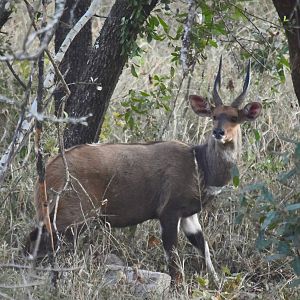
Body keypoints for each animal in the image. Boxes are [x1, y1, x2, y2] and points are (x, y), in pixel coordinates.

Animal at [28, 58, 262, 284]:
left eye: (234, 118)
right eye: (214, 115)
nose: (218, 132)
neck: (199, 163)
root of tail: (49, 170)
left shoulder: (190, 215)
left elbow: (204, 249)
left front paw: (218, 283)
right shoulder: (169, 212)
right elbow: (174, 262)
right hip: (72, 216)